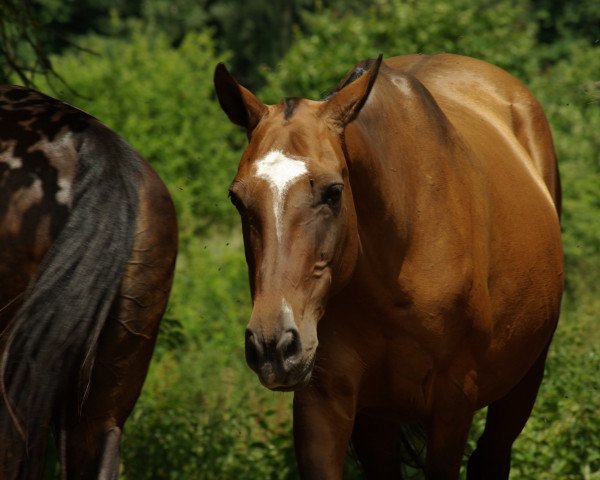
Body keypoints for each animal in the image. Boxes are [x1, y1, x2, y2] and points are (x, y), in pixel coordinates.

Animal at [214, 53, 564, 480]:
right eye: (238, 199)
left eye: (333, 192)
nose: (272, 346)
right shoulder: (325, 400)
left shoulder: (454, 401)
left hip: (523, 381)